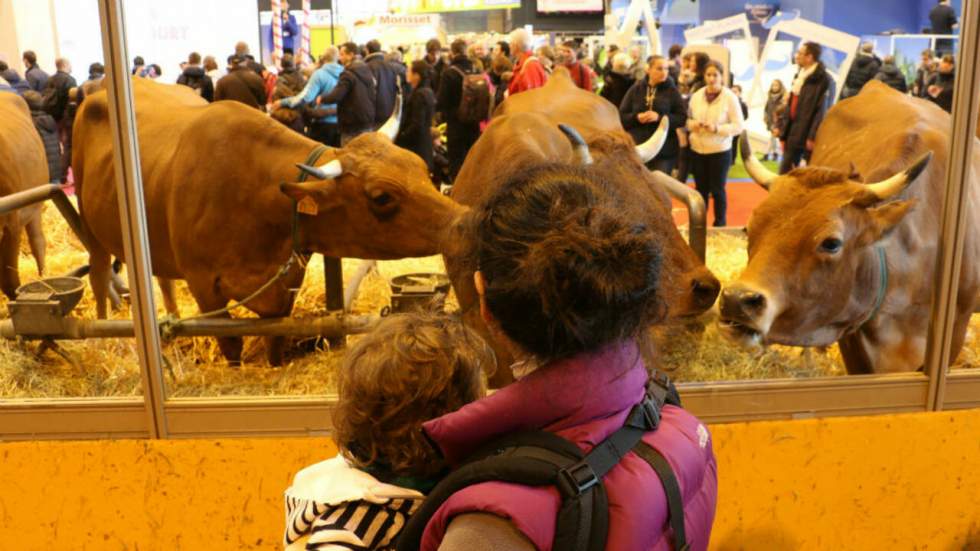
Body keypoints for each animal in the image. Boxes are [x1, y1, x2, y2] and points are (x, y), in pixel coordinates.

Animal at [75, 76, 460, 362]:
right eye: (381, 197)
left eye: (421, 167)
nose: (463, 219)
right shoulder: (203, 286)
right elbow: (231, 345)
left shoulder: (286, 280)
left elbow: (277, 337)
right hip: (90, 227)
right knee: (98, 275)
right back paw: (100, 336)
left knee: (162, 279)